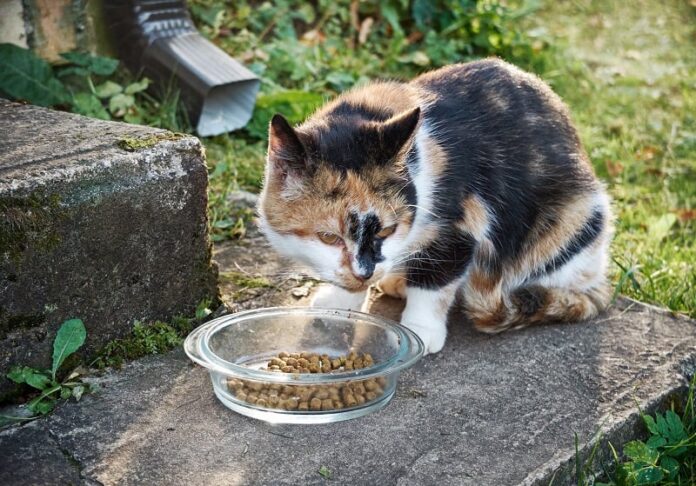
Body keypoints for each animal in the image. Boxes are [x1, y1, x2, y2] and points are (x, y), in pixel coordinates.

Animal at [258, 58, 612, 354]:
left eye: (386, 231)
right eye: (329, 237)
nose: (365, 272)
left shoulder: (463, 224)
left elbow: (435, 281)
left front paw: (420, 331)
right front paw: (338, 302)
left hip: (574, 223)